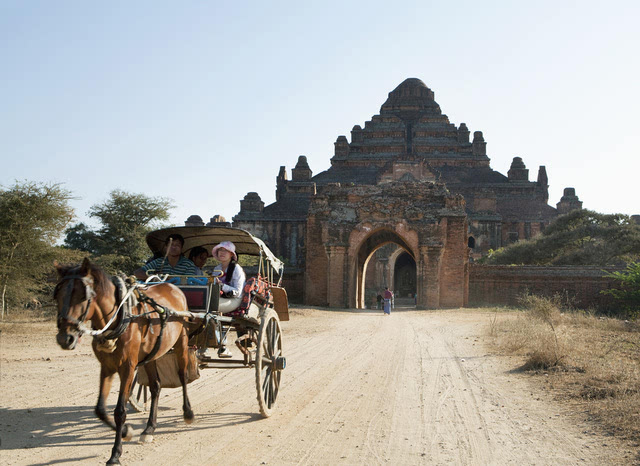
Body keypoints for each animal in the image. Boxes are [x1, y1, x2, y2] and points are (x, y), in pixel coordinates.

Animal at [53, 256, 194, 464]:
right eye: (58, 295)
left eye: (84, 297)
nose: (65, 338)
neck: (120, 318)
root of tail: (172, 285)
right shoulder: (107, 367)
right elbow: (100, 410)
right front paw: (127, 432)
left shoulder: (128, 367)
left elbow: (120, 411)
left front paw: (115, 454)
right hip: (152, 354)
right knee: (155, 386)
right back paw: (149, 428)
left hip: (181, 343)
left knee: (183, 375)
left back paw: (188, 413)